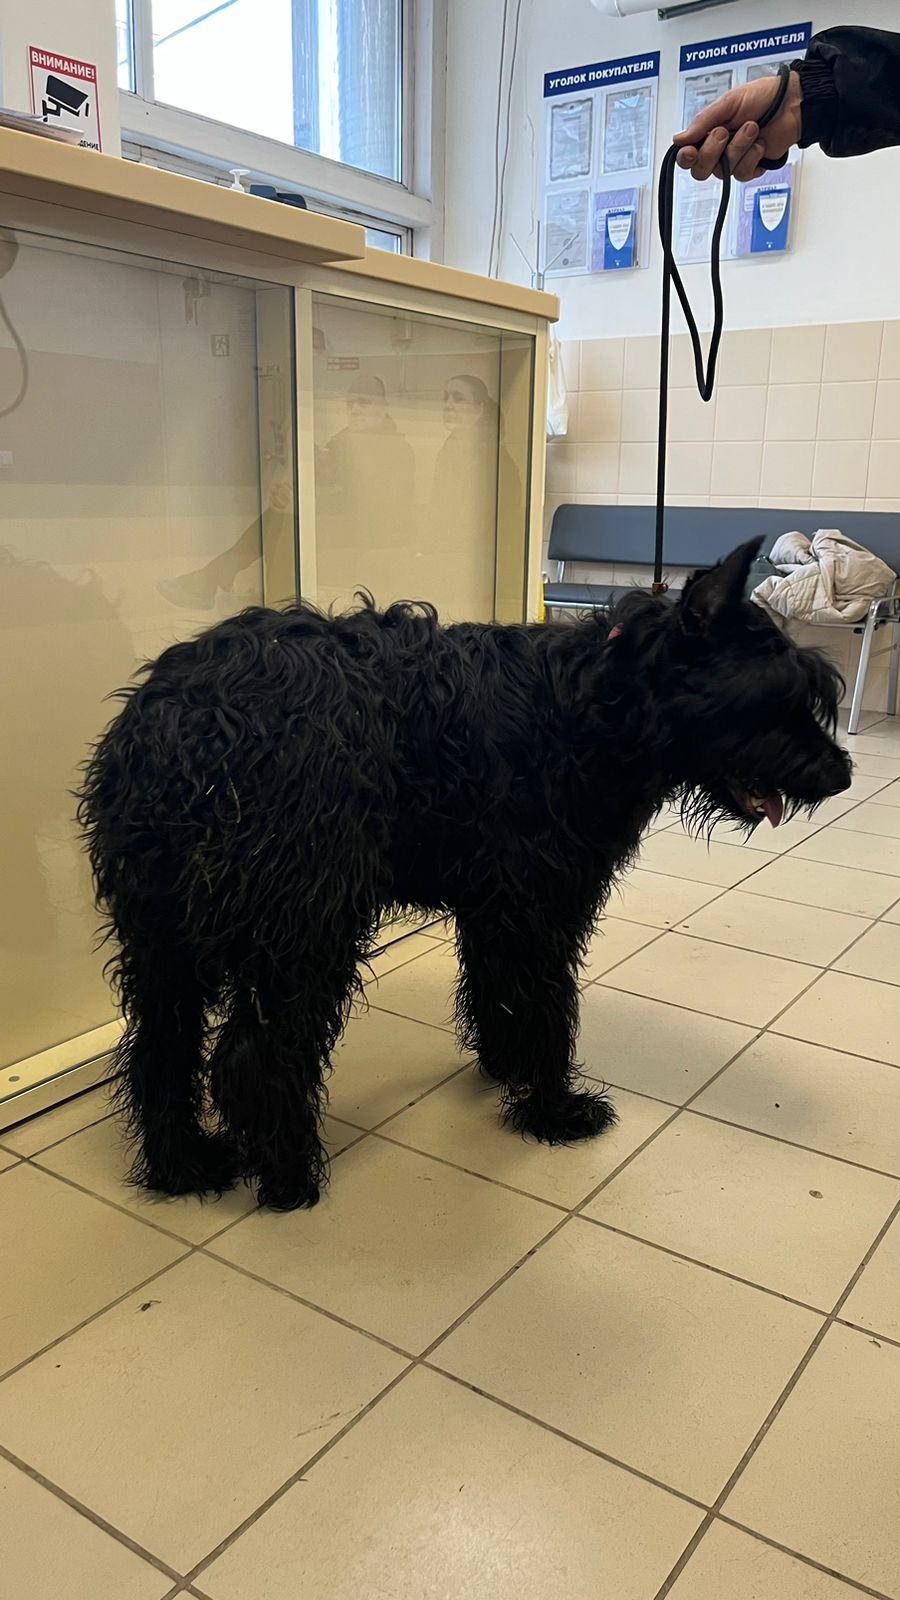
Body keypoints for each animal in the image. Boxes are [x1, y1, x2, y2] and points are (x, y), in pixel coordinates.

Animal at [78, 538, 852, 1211]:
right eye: (774, 697)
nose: (840, 774)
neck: (599, 703)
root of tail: (182, 722)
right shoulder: (542, 905)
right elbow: (548, 1008)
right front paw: (553, 1110)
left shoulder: (494, 906)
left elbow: (499, 994)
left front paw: (505, 1069)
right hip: (304, 928)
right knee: (256, 1054)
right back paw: (290, 1178)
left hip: (163, 932)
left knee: (160, 1049)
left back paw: (183, 1166)